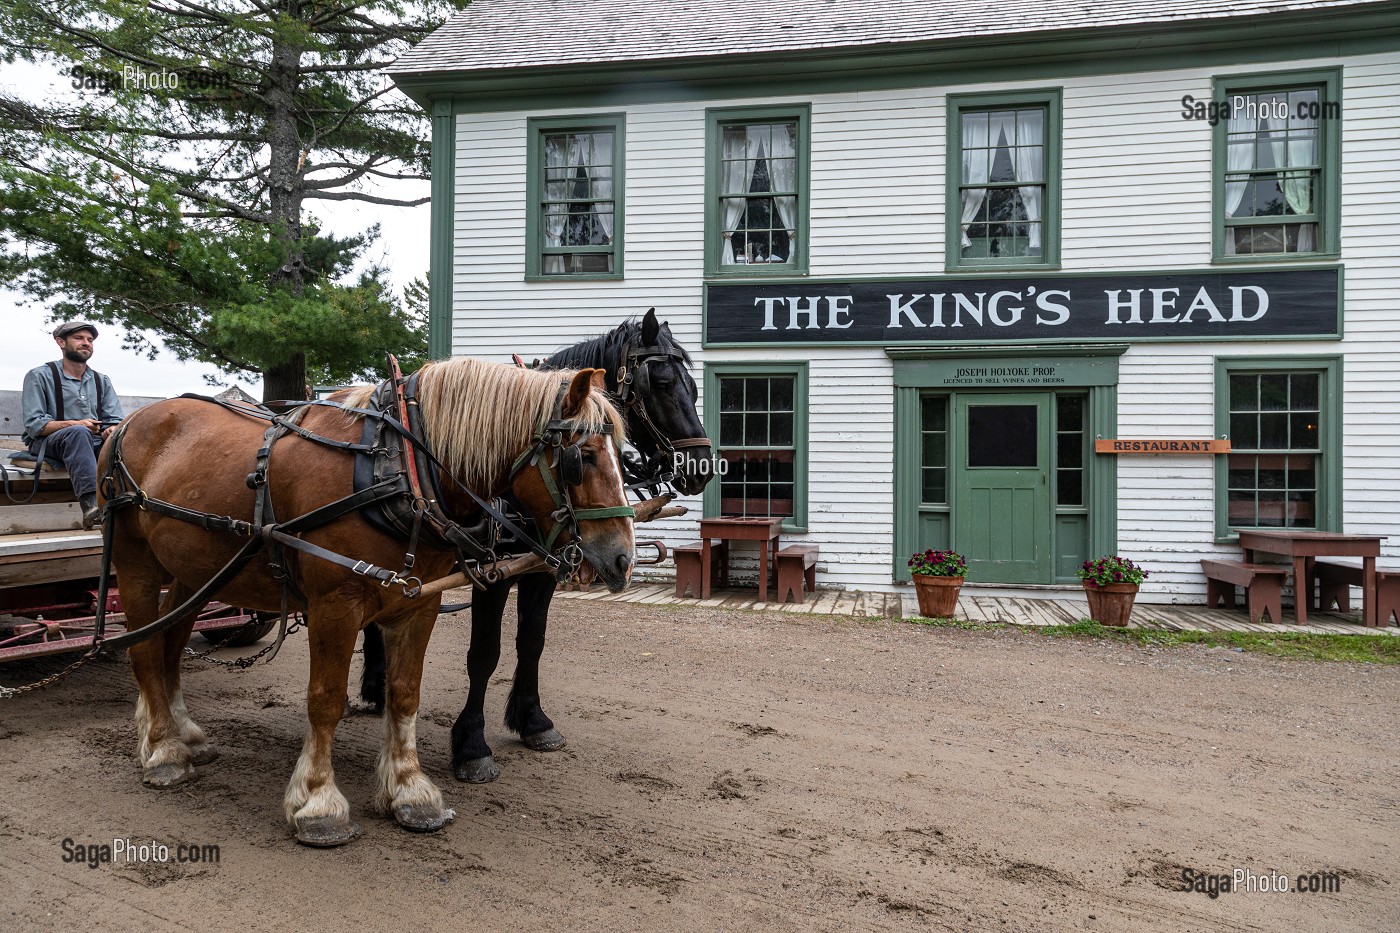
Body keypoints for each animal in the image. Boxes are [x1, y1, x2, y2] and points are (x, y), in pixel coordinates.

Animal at [103, 355, 635, 840]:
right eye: (582, 457)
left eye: (622, 454)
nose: (623, 559)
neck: (398, 466)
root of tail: (126, 424)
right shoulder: (334, 605)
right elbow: (325, 699)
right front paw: (318, 801)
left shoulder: (417, 603)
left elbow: (405, 693)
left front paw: (410, 790)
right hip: (136, 564)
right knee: (144, 649)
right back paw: (164, 750)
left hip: (194, 572)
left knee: (172, 644)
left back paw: (184, 734)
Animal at [361, 311, 711, 778]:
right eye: (663, 382)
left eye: (692, 384)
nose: (702, 465)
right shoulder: (490, 575)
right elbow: (484, 654)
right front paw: (471, 744)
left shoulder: (542, 569)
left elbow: (532, 642)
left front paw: (532, 720)